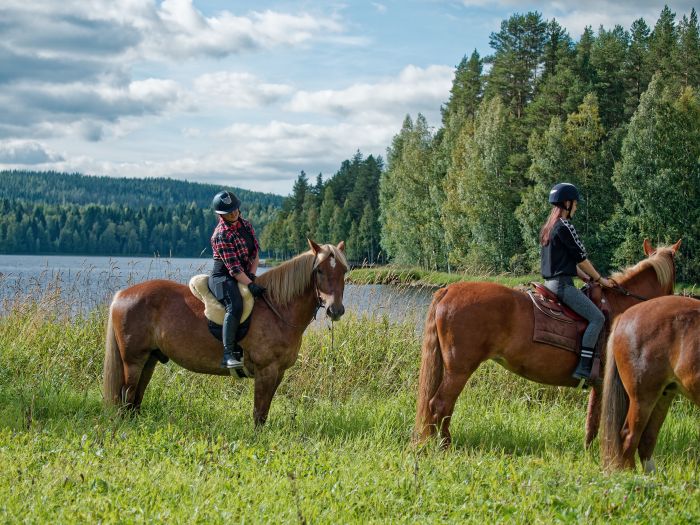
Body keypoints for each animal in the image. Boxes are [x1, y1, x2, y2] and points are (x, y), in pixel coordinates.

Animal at [102, 239, 348, 424]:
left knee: (135, 399)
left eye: (344, 270)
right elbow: (259, 414)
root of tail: (121, 295)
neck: (278, 308)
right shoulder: (266, 371)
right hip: (133, 361)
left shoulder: (278, 373)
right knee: (126, 396)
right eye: (319, 270)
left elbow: (264, 411)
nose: (335, 310)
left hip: (149, 360)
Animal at [416, 237, 680, 446]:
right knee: (440, 404)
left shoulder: (599, 383)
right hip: (459, 369)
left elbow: (592, 421)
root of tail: (448, 289)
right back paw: (444, 445)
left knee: (441, 406)